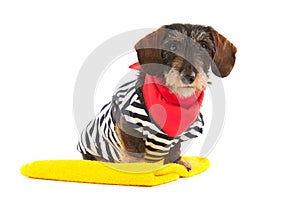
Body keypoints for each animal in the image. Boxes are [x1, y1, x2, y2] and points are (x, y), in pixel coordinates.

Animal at [78, 23, 237, 170]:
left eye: (203, 46)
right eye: (172, 46)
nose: (188, 76)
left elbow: (174, 151)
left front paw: (178, 163)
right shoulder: (127, 125)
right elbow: (135, 154)